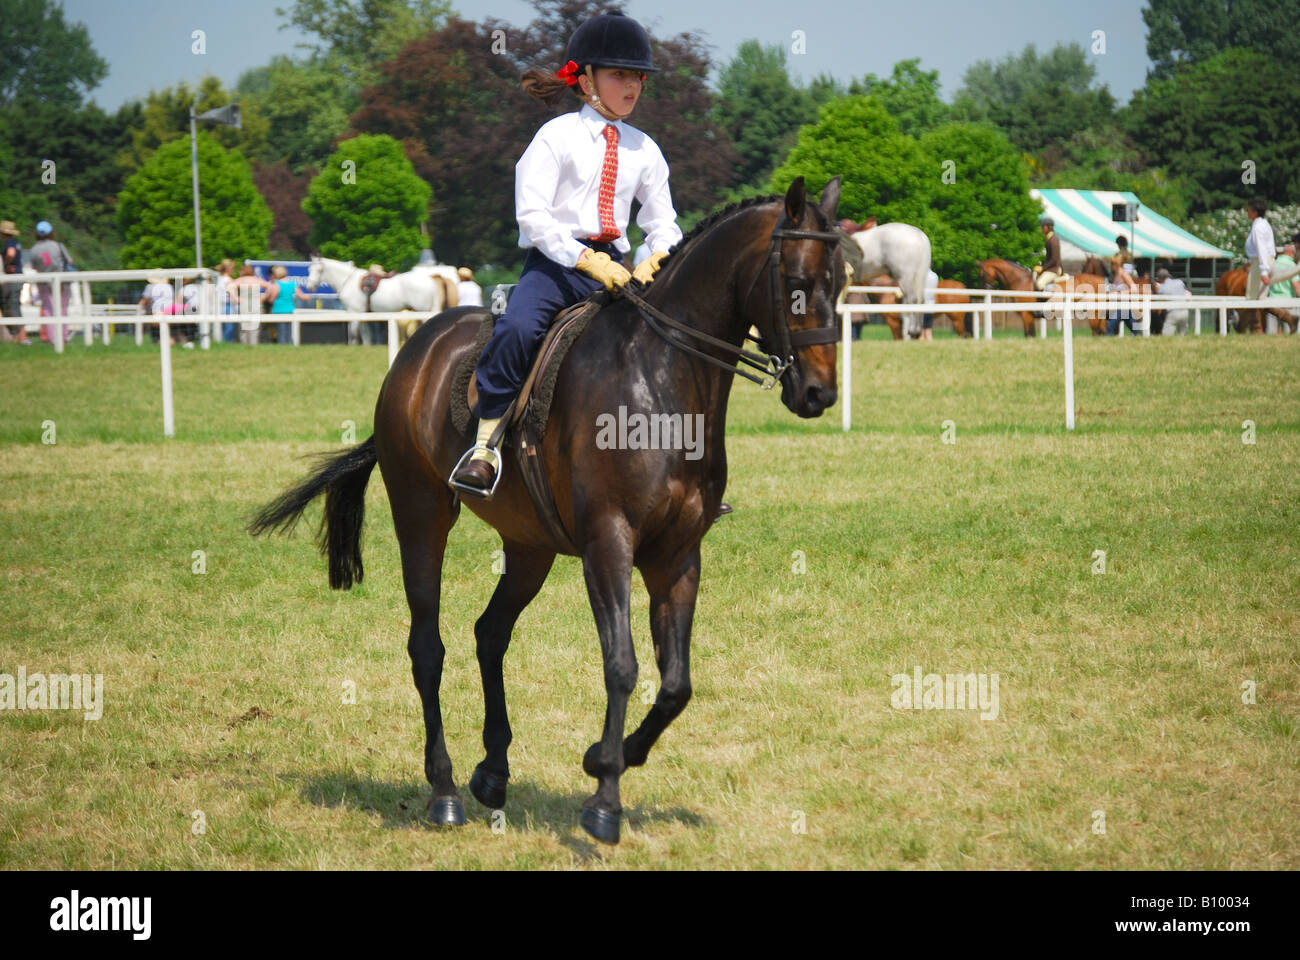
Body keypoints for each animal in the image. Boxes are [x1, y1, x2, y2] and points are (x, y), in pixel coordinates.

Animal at [304, 254, 457, 343]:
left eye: (318, 270)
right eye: (309, 270)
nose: (310, 286)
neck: (348, 280)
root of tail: (431, 278)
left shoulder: (354, 313)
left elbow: (354, 335)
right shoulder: (364, 314)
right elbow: (366, 336)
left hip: (423, 311)